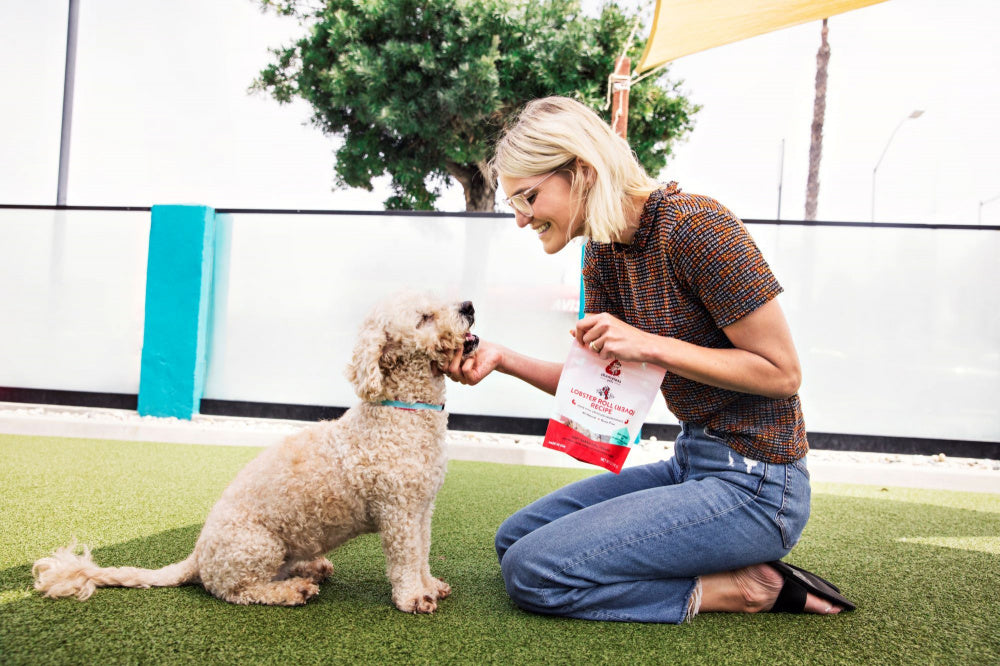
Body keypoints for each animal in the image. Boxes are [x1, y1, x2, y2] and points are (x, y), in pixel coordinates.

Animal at [33, 290, 478, 612]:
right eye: (424, 317)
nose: (469, 306)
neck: (402, 414)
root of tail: (196, 556)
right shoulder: (397, 511)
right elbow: (405, 560)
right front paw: (413, 598)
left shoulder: (421, 509)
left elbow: (422, 554)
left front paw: (430, 585)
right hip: (257, 546)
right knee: (237, 591)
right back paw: (294, 590)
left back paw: (312, 569)